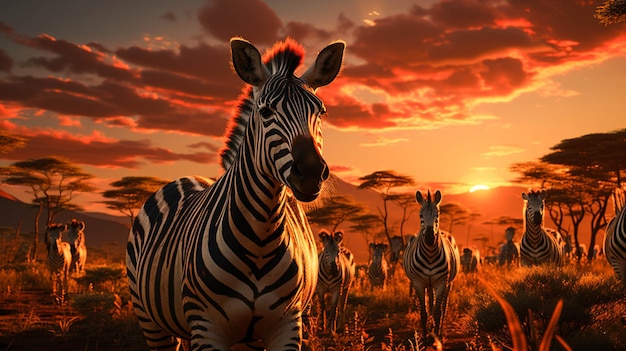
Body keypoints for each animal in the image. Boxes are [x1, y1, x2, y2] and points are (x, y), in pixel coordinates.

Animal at [124, 37, 344, 350]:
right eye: (266, 112)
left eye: (321, 112)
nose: (312, 172)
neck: (261, 237)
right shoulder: (206, 326)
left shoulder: (287, 324)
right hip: (151, 321)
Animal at [400, 191, 458, 342]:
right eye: (420, 215)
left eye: (437, 215)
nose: (430, 238)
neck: (430, 254)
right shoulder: (418, 283)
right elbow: (424, 313)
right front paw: (425, 340)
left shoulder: (441, 283)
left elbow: (438, 312)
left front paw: (437, 338)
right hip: (429, 284)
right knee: (431, 304)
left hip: (448, 283)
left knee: (444, 307)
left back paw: (439, 331)